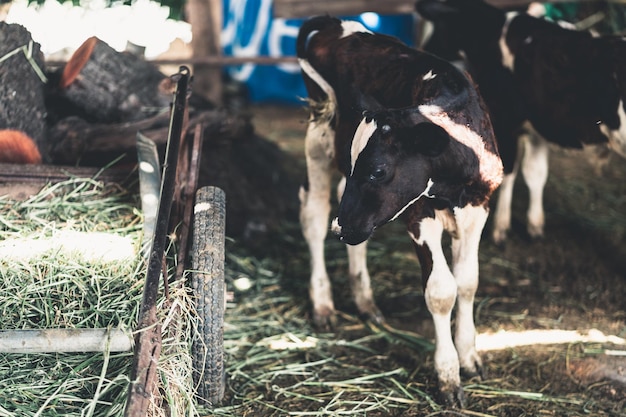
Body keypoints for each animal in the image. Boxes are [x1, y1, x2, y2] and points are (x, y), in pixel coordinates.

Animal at [416, 0, 626, 244]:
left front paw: (501, 228)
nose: (423, 52)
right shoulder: (537, 125)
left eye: (438, 27)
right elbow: (535, 173)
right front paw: (535, 226)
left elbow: (508, 171)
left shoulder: (506, 120)